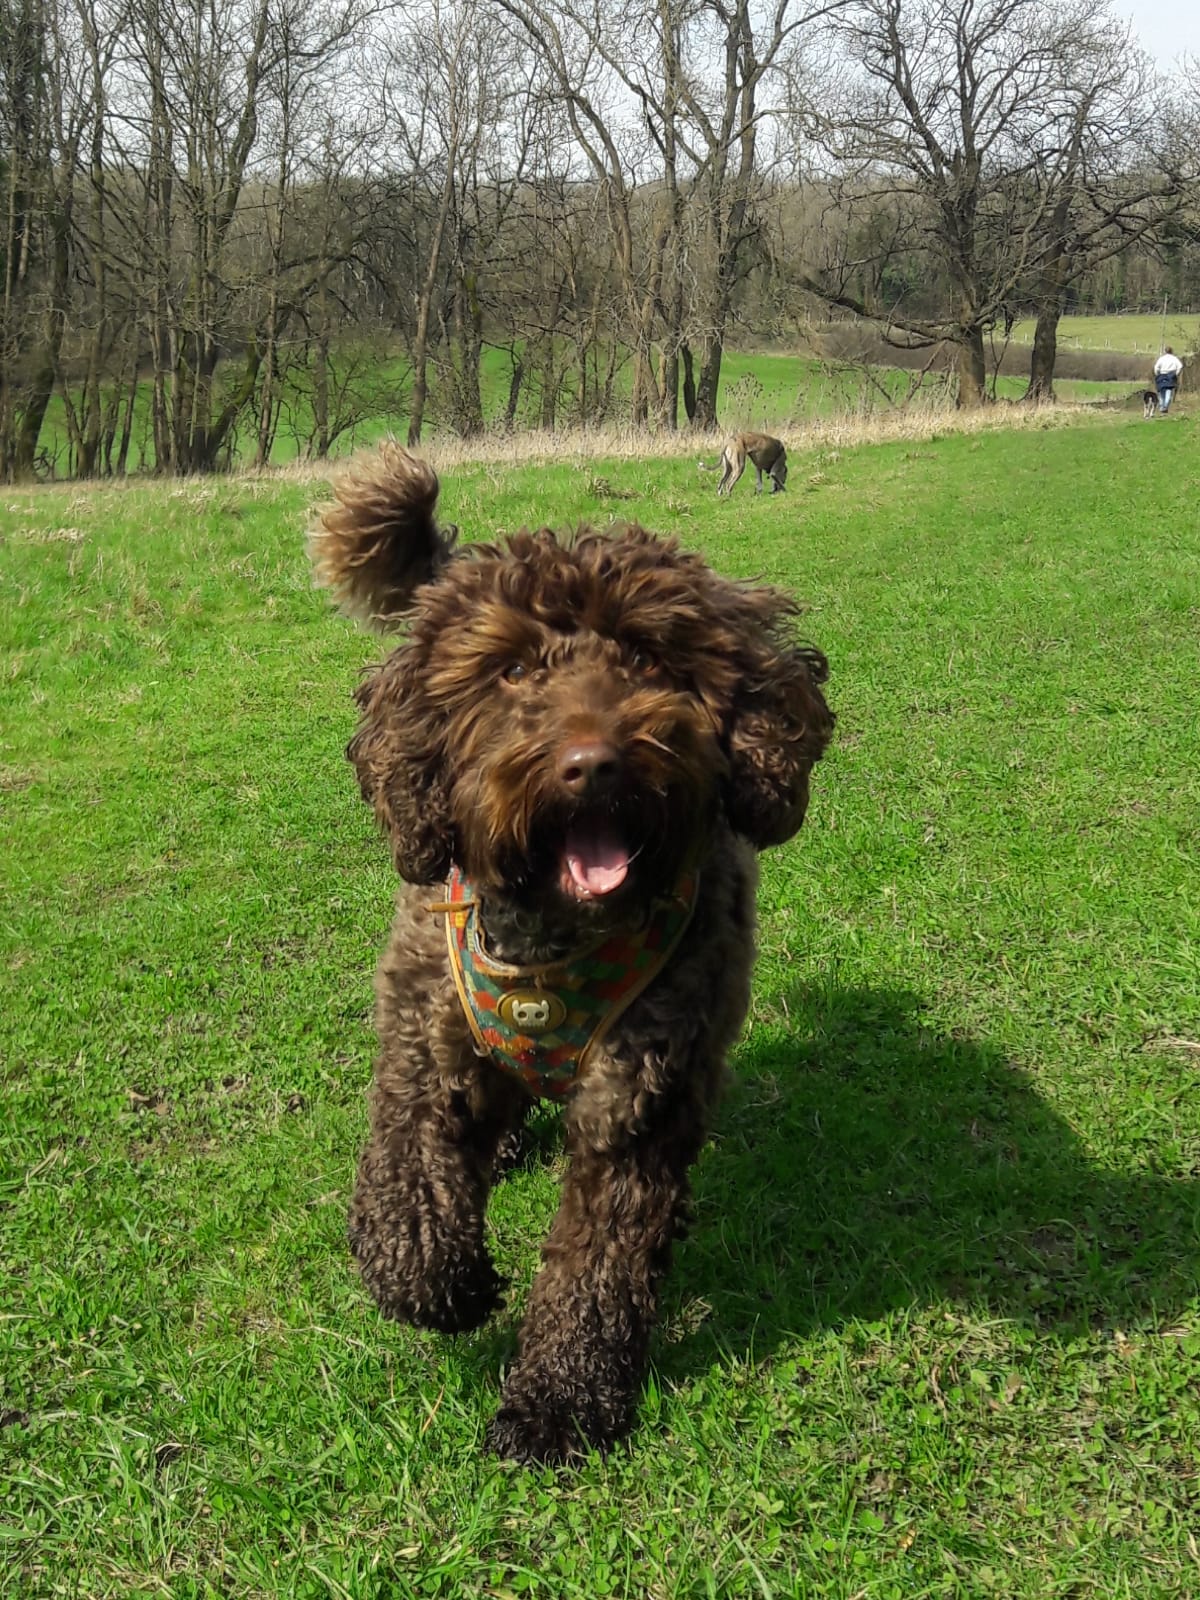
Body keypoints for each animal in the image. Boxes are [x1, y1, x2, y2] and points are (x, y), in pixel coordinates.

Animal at [310, 441, 838, 1465]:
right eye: (512, 670)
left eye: (645, 655)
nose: (594, 763)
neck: (555, 936)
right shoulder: (423, 1037)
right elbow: (407, 1195)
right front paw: (449, 1282)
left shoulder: (640, 1097)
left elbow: (596, 1266)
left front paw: (559, 1401)